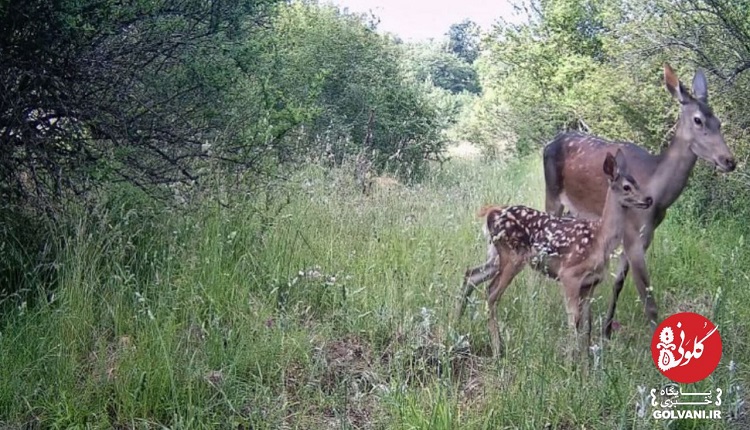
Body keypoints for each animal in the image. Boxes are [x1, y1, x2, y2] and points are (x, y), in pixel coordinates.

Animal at [456, 149, 656, 358]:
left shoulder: (590, 283)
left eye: (637, 182)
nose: (648, 199)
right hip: (512, 255)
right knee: (491, 292)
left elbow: (587, 325)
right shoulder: (569, 275)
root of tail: (491, 213)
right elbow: (573, 320)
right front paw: (570, 361)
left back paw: (455, 326)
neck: (600, 239)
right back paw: (497, 350)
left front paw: (585, 361)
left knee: (471, 274)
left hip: (495, 256)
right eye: (626, 187)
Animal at [544, 63, 736, 340]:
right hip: (552, 195)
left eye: (719, 121)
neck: (658, 194)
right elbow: (649, 303)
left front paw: (606, 331)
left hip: (576, 211)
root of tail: (547, 145)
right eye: (698, 119)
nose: (729, 160)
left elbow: (618, 282)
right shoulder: (635, 234)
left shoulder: (642, 235)